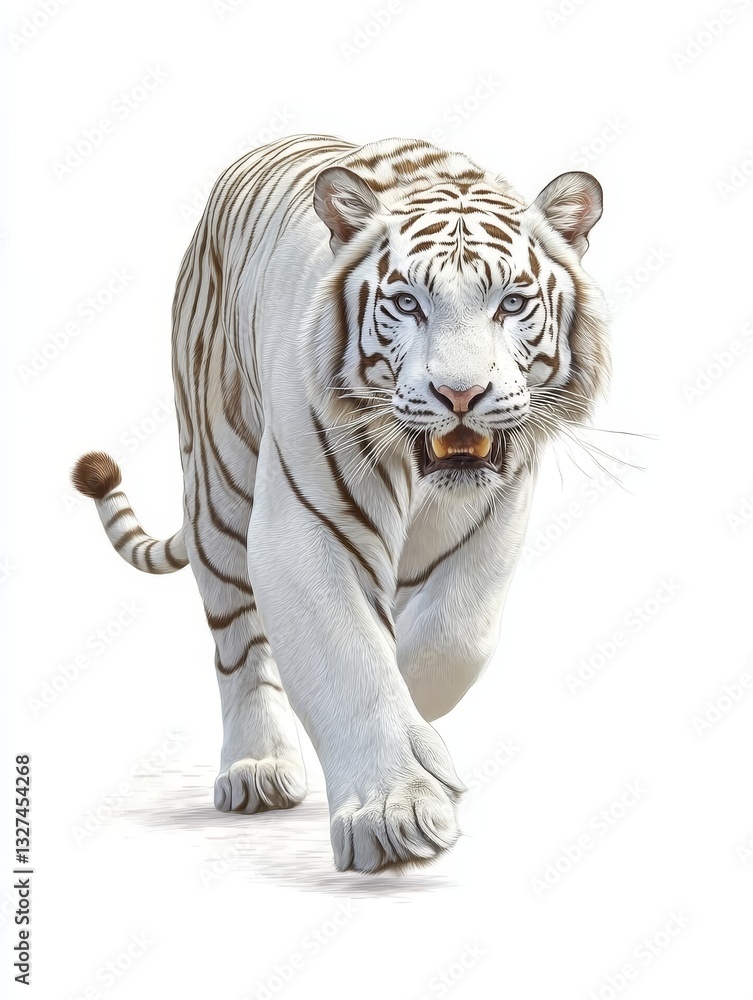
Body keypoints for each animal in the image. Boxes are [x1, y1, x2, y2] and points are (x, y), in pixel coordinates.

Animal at [72, 133, 610, 874]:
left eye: (510, 303)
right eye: (408, 304)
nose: (460, 394)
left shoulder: (496, 515)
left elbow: (451, 639)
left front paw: (426, 755)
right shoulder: (305, 526)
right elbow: (350, 655)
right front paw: (392, 814)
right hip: (217, 486)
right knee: (237, 642)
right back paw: (257, 769)